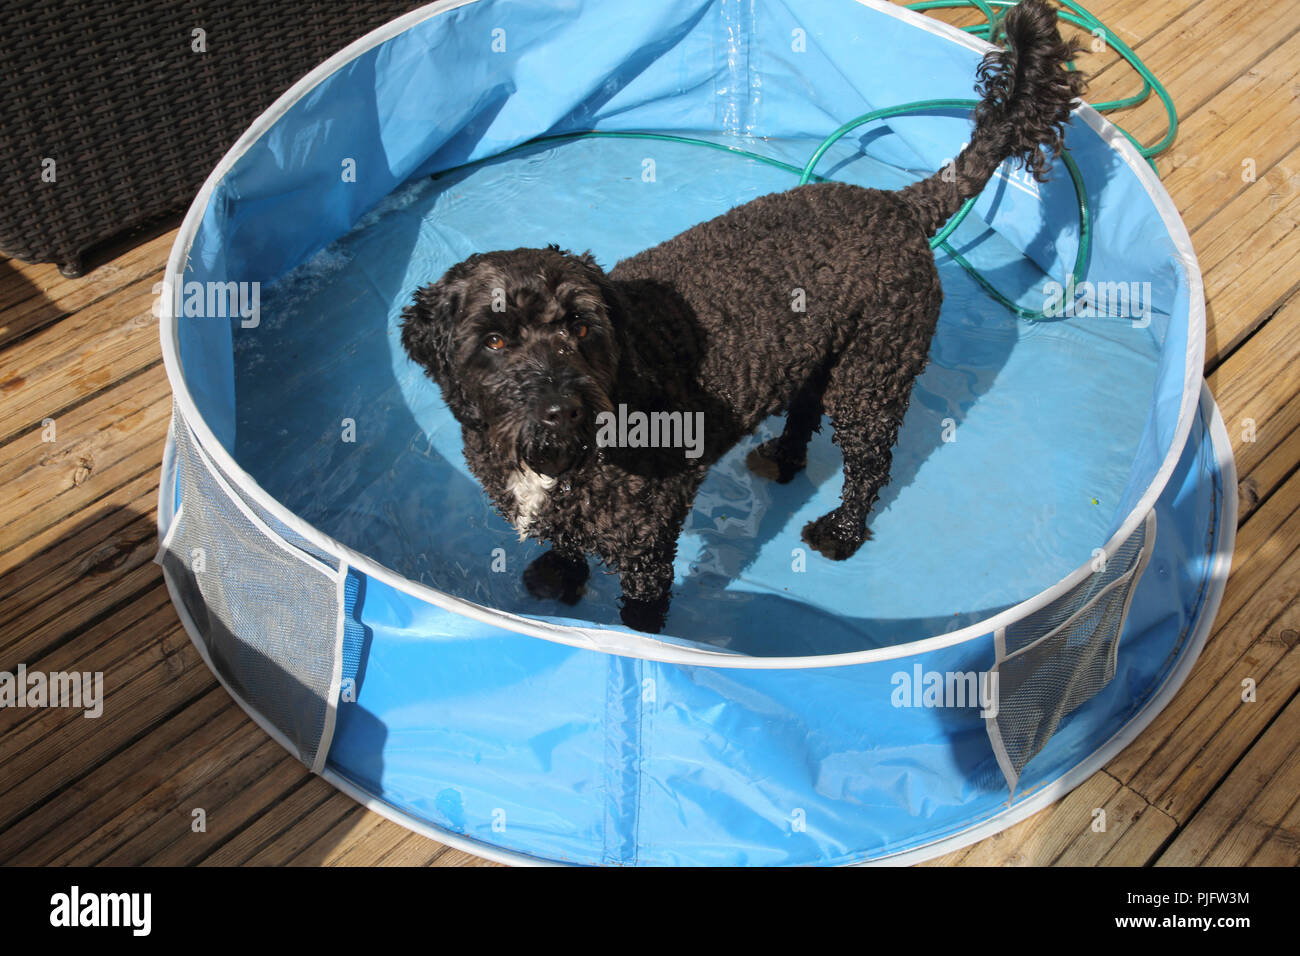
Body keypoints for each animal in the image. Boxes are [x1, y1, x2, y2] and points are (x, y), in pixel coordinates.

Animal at [403, 1, 1086, 634]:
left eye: (580, 328)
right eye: (494, 340)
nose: (562, 410)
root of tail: (900, 203)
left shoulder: (651, 526)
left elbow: (643, 603)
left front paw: (643, 642)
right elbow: (566, 537)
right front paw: (559, 572)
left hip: (872, 376)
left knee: (870, 467)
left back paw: (841, 530)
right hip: (824, 355)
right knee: (806, 410)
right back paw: (782, 458)